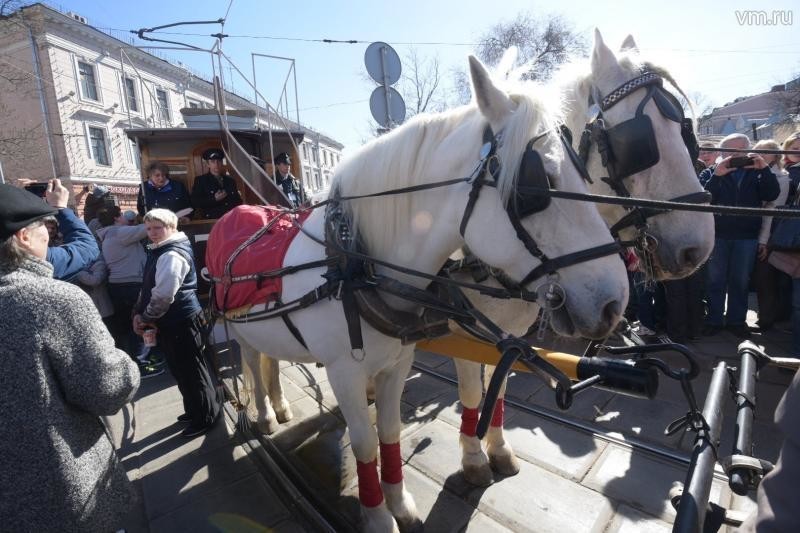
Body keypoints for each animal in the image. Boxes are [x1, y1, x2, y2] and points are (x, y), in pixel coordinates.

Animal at [222, 54, 628, 528]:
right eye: (534, 185)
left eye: (586, 173)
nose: (614, 301)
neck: (354, 261)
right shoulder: (348, 369)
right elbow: (367, 442)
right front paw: (380, 517)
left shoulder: (408, 359)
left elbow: (392, 429)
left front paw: (401, 505)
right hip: (242, 330)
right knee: (252, 362)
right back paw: (264, 414)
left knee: (269, 359)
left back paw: (280, 404)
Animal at [450, 31, 720, 484]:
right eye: (639, 142)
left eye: (686, 131)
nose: (696, 249)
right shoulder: (461, 331)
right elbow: (473, 392)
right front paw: (472, 458)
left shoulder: (509, 335)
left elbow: (498, 386)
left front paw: (498, 449)